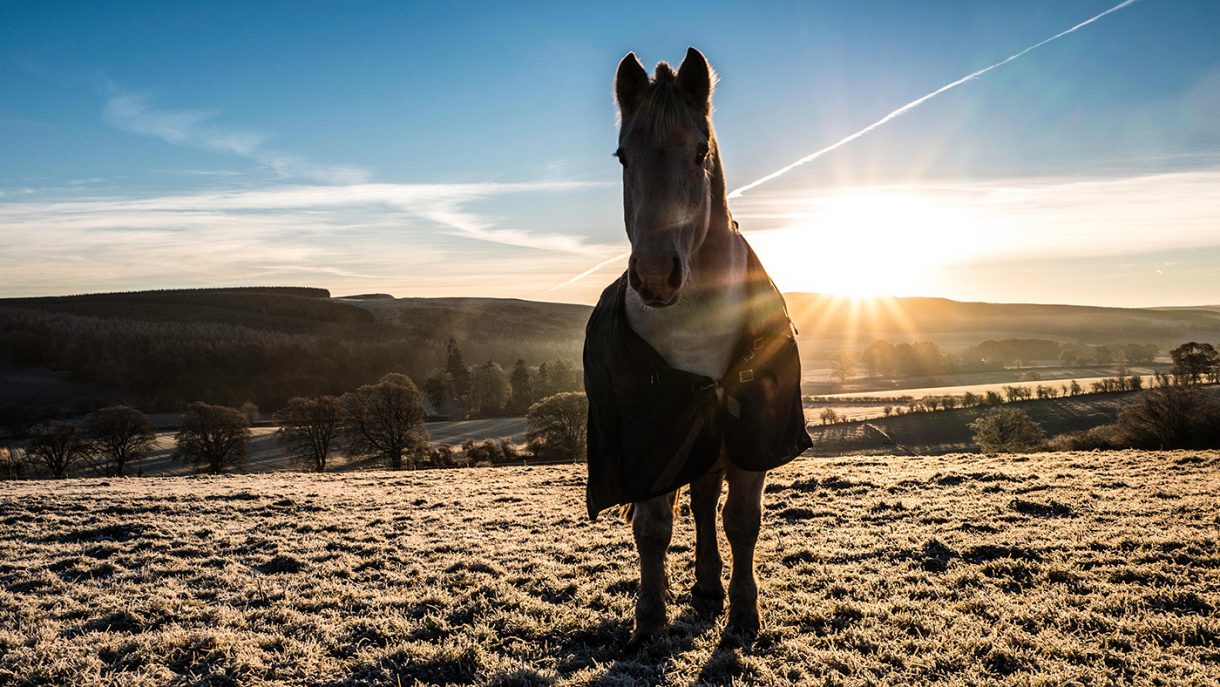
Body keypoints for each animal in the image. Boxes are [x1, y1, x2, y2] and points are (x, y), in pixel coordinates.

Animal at [587, 47, 809, 652]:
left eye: (700, 152)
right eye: (622, 156)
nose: (654, 277)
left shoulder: (754, 430)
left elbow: (742, 520)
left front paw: (744, 616)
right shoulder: (647, 437)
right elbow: (652, 528)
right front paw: (648, 620)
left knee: (709, 502)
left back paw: (712, 590)